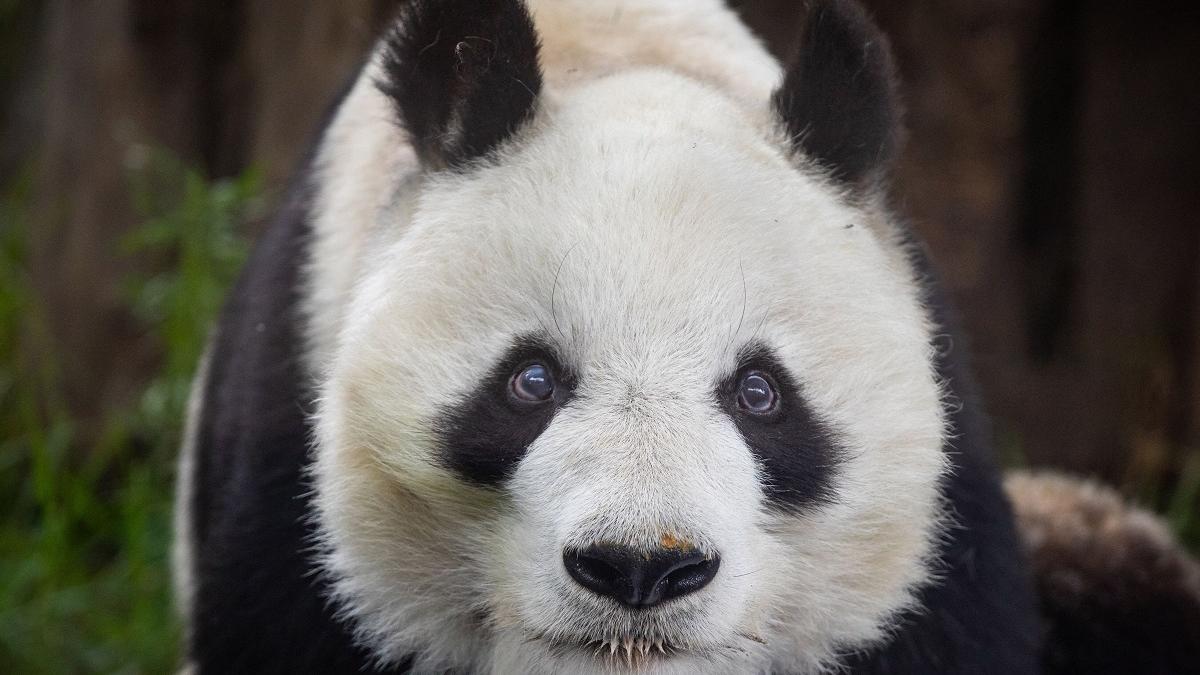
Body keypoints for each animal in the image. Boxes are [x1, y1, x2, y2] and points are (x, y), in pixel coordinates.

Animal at [173, 0, 1200, 673]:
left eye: (760, 392)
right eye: (530, 381)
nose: (640, 566)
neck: (608, 53)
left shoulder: (944, 558)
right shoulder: (289, 504)